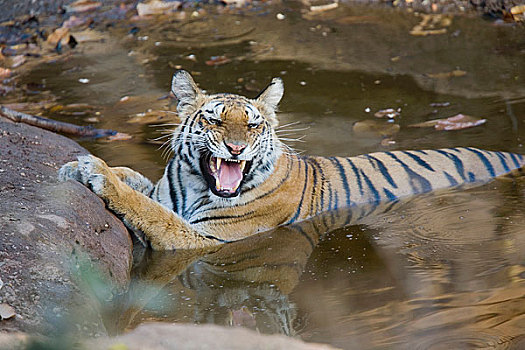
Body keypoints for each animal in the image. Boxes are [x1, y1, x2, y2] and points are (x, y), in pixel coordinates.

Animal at [57, 69, 524, 249]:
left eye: (252, 125)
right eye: (214, 120)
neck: (195, 185)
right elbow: (140, 183)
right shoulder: (167, 193)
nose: (235, 149)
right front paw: (76, 164)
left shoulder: (207, 240)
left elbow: (148, 209)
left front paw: (97, 173)